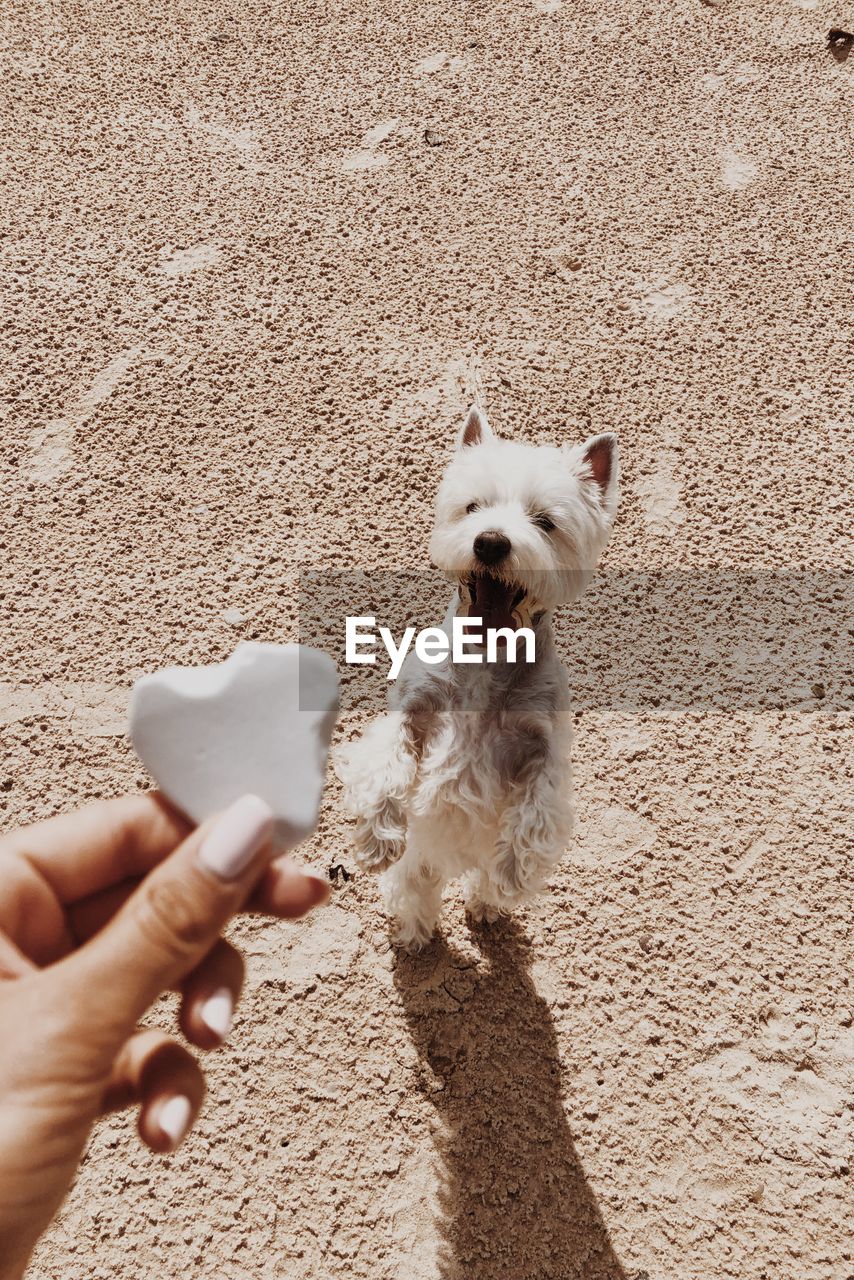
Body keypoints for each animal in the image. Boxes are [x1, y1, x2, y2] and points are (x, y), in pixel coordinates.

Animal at [335, 409, 622, 952]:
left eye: (545, 522)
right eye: (473, 507)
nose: (490, 542)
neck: (487, 660)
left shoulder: (545, 743)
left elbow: (537, 810)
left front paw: (514, 871)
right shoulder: (411, 709)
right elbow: (384, 762)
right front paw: (378, 837)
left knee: (476, 880)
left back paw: (488, 903)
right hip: (420, 862)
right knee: (413, 885)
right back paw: (412, 933)